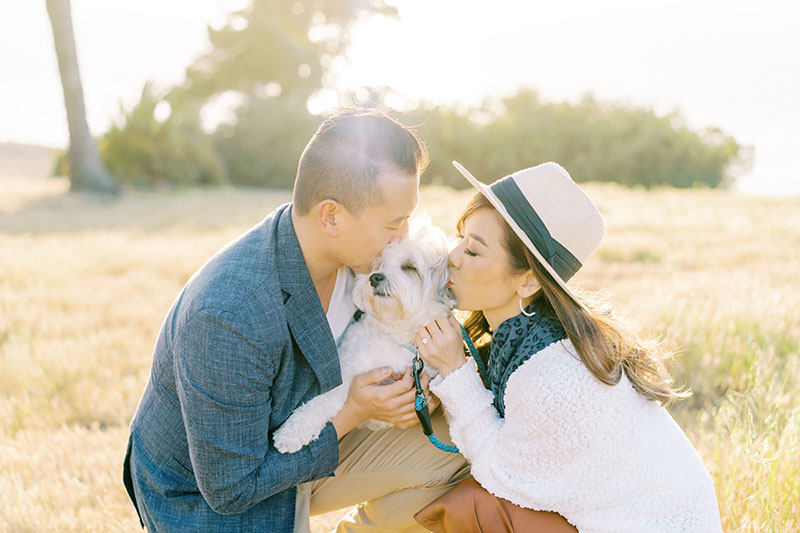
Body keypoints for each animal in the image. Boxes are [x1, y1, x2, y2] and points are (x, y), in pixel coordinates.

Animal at [272, 216, 454, 454]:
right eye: (378, 265)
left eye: (409, 267)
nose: (375, 278)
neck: (397, 335)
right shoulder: (349, 370)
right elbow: (324, 400)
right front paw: (292, 432)